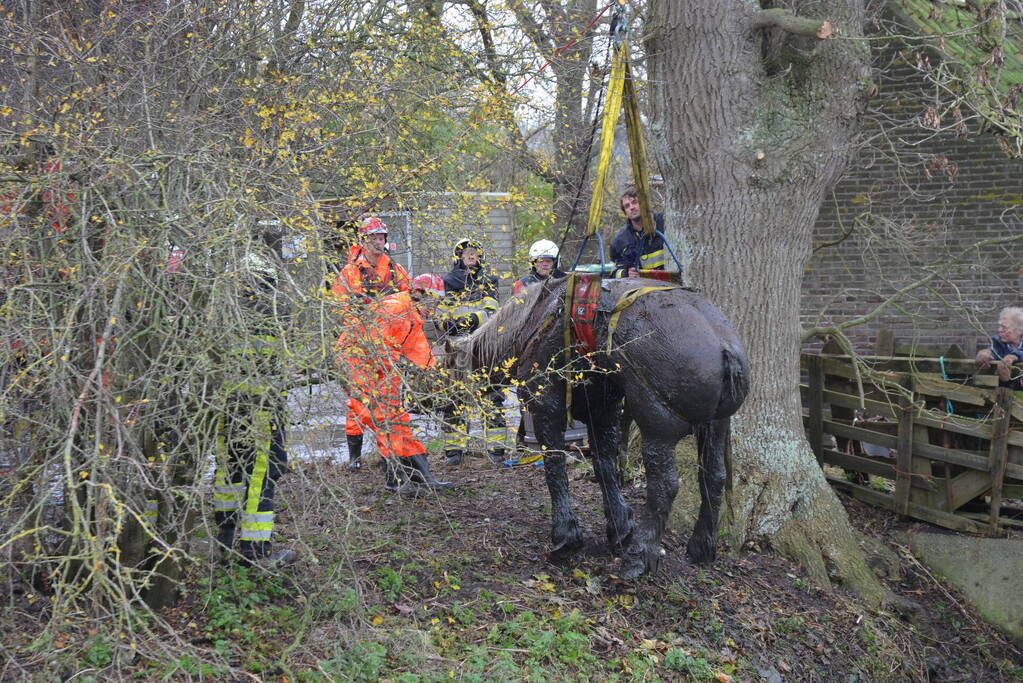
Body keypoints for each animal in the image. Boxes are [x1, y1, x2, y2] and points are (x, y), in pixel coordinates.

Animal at [444, 275, 750, 579]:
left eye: (447, 371)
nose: (444, 407)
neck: (534, 319)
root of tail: (724, 347)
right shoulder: (602, 409)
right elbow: (604, 466)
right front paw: (619, 526)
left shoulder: (546, 405)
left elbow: (555, 466)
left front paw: (566, 536)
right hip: (715, 425)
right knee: (714, 476)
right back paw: (702, 547)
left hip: (657, 427)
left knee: (664, 485)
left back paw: (639, 557)